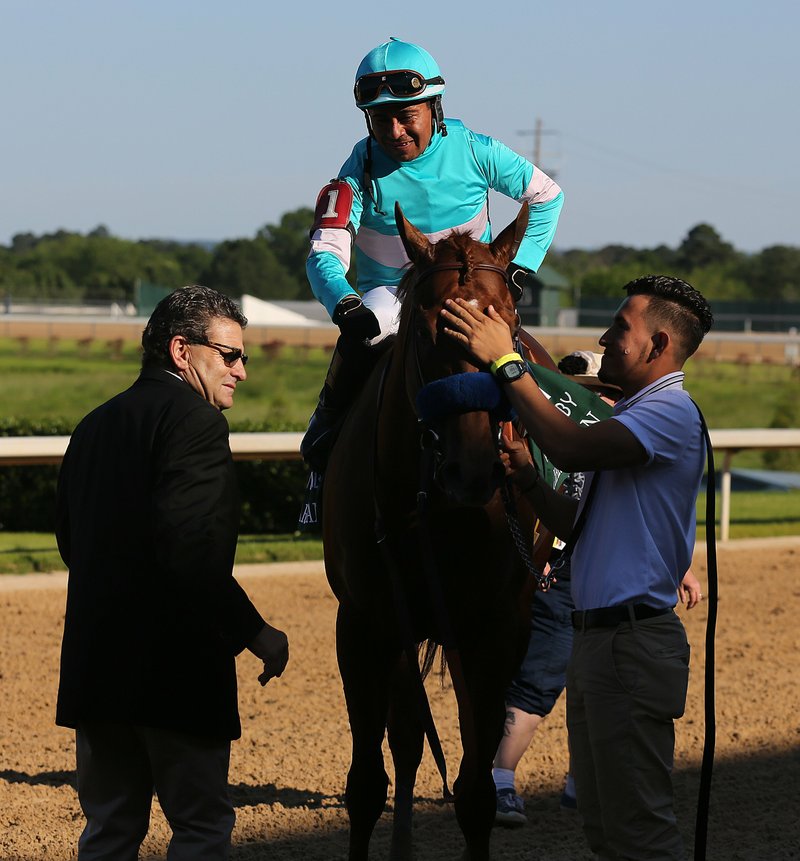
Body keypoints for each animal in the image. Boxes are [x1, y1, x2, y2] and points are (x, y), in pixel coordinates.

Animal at [322, 203, 552, 860]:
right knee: (405, 737)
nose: (473, 470)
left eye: (511, 323)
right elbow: (367, 782)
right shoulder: (367, 621)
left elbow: (475, 791)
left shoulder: (495, 627)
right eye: (427, 331)